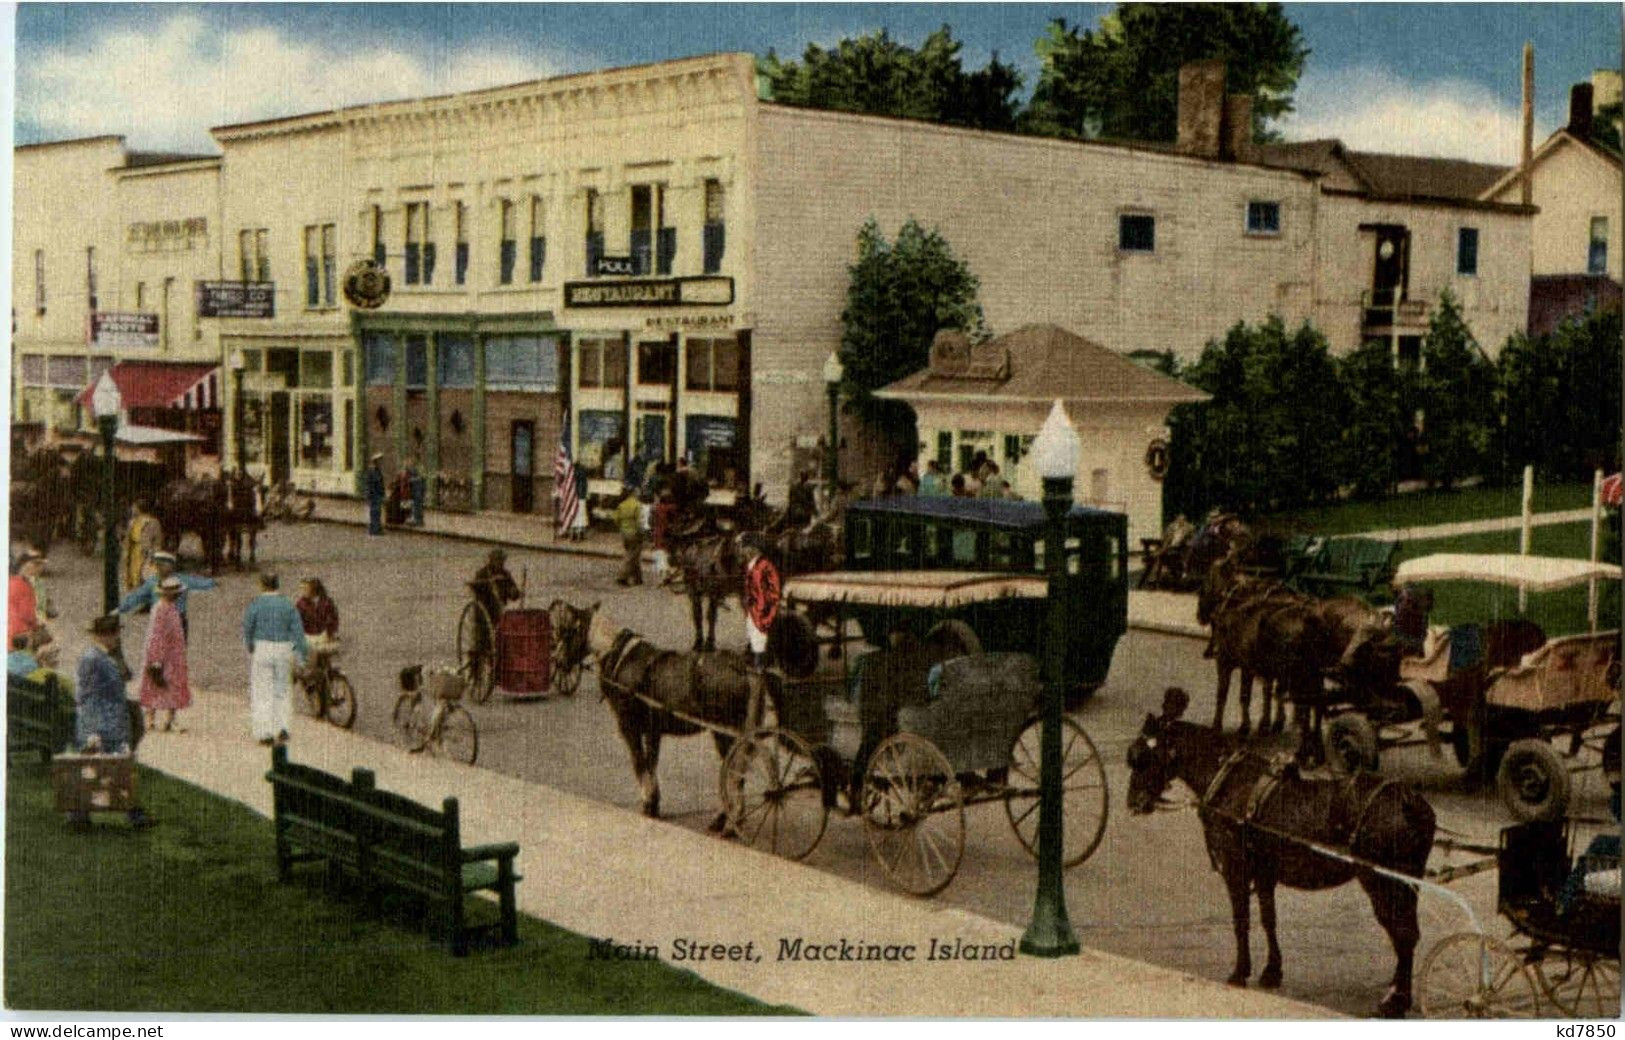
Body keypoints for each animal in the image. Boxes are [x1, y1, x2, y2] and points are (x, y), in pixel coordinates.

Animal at [549, 601, 776, 828]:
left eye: (568, 631)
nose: (556, 660)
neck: (622, 658)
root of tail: (742, 667)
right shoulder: (653, 731)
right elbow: (651, 764)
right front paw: (654, 803)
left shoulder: (629, 728)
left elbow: (639, 764)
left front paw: (648, 802)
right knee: (737, 771)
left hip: (724, 733)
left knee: (734, 771)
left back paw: (728, 820)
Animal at [1131, 685, 1436, 1020]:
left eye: (1141, 758)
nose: (1133, 802)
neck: (1228, 780)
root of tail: (1408, 801)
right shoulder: (1264, 874)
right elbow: (1268, 919)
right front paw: (1271, 971)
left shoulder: (1235, 870)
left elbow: (1241, 921)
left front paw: (1240, 972)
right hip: (1407, 883)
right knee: (1407, 933)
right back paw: (1397, 992)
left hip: (1383, 882)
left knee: (1403, 934)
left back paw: (1396, 1001)